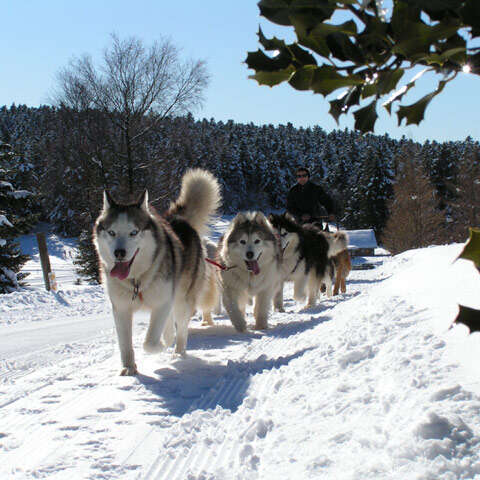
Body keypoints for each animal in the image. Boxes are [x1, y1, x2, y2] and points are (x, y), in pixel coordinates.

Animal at [93, 169, 221, 376]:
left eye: (134, 232)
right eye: (112, 232)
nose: (119, 253)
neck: (136, 280)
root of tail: (179, 220)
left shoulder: (162, 302)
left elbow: (150, 343)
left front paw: (160, 346)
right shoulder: (121, 309)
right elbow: (125, 344)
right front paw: (129, 367)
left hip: (182, 299)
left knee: (181, 327)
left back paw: (178, 352)